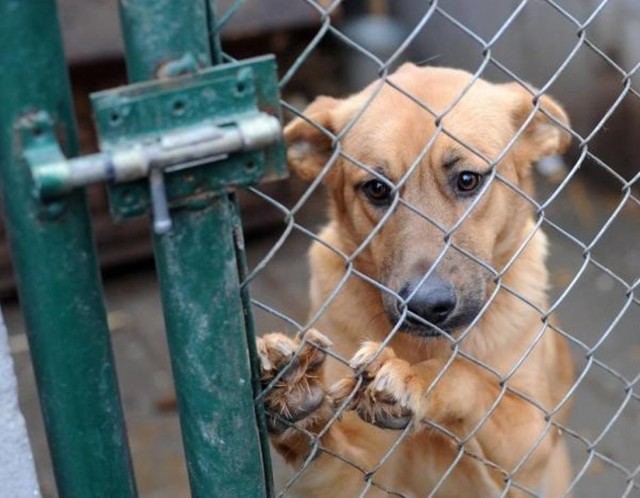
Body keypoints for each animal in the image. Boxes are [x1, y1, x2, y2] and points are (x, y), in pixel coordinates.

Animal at [258, 64, 576, 496]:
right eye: (377, 188)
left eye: (468, 180)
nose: (425, 307)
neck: (426, 345)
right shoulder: (349, 479)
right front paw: (295, 395)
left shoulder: (529, 439)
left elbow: (464, 375)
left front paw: (415, 378)